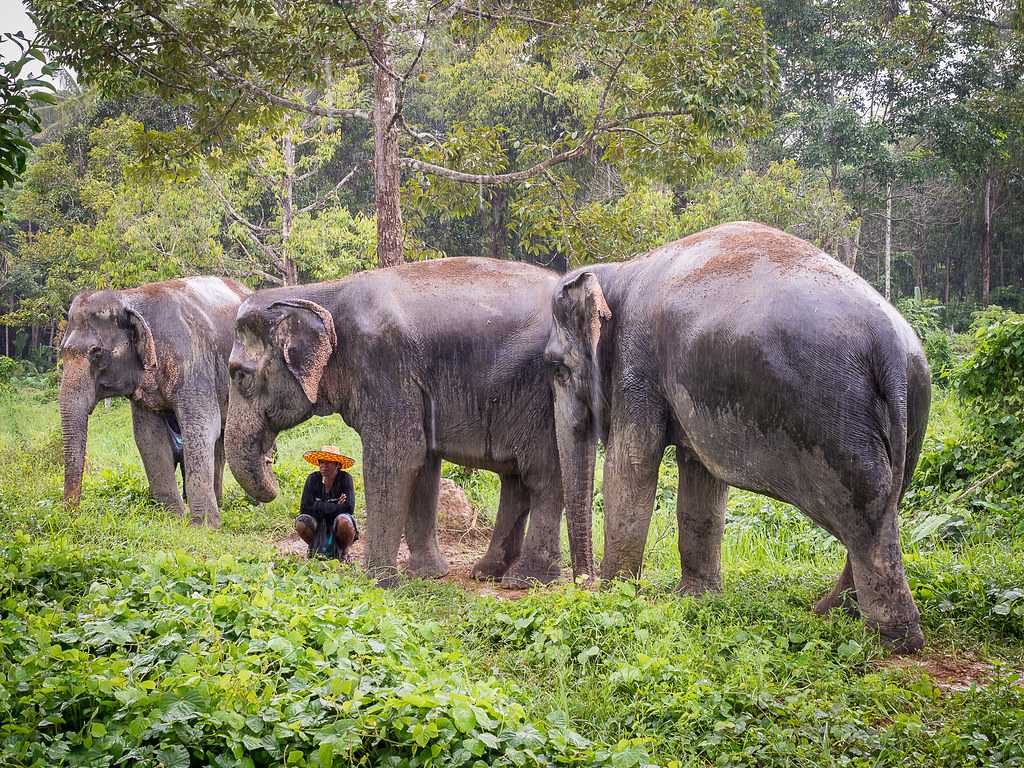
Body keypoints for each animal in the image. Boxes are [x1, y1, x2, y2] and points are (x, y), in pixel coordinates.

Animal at [59, 274, 251, 528]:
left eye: (96, 352)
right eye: (62, 351)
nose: (73, 516)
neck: (128, 297)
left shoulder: (192, 362)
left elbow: (200, 428)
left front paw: (204, 527)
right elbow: (149, 438)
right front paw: (173, 519)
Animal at [223, 259, 585, 589]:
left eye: (239, 375)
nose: (271, 464)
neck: (319, 293)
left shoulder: (384, 367)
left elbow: (396, 460)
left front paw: (377, 582)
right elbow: (424, 466)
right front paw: (427, 575)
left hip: (546, 400)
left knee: (542, 475)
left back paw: (527, 580)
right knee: (515, 479)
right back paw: (489, 574)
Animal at [548, 222, 933, 655]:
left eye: (556, 368)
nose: (583, 584)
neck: (617, 271)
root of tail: (890, 345)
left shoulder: (638, 364)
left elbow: (630, 465)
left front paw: (616, 597)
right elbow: (701, 477)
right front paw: (696, 598)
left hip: (839, 417)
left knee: (867, 514)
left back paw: (893, 641)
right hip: (913, 407)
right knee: (887, 504)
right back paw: (832, 611)